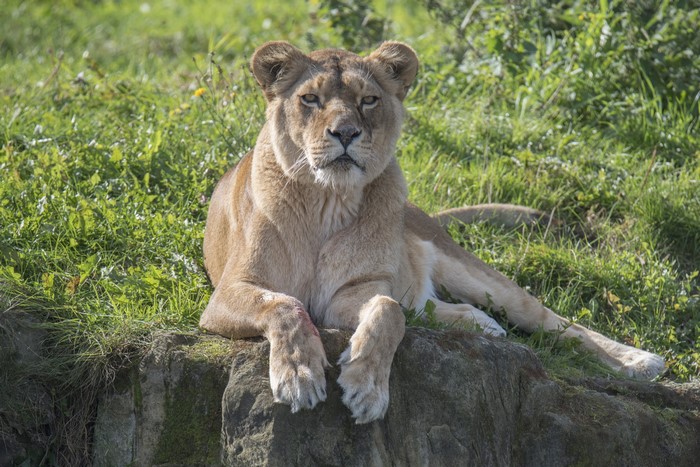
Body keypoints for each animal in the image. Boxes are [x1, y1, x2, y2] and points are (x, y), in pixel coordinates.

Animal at [200, 41, 665, 424]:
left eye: (368, 100)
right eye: (310, 99)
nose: (345, 132)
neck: (326, 201)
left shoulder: (353, 292)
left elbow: (387, 312)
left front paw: (367, 388)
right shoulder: (228, 293)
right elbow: (286, 306)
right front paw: (299, 376)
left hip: (477, 274)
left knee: (554, 322)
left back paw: (638, 361)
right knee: (426, 308)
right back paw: (484, 327)